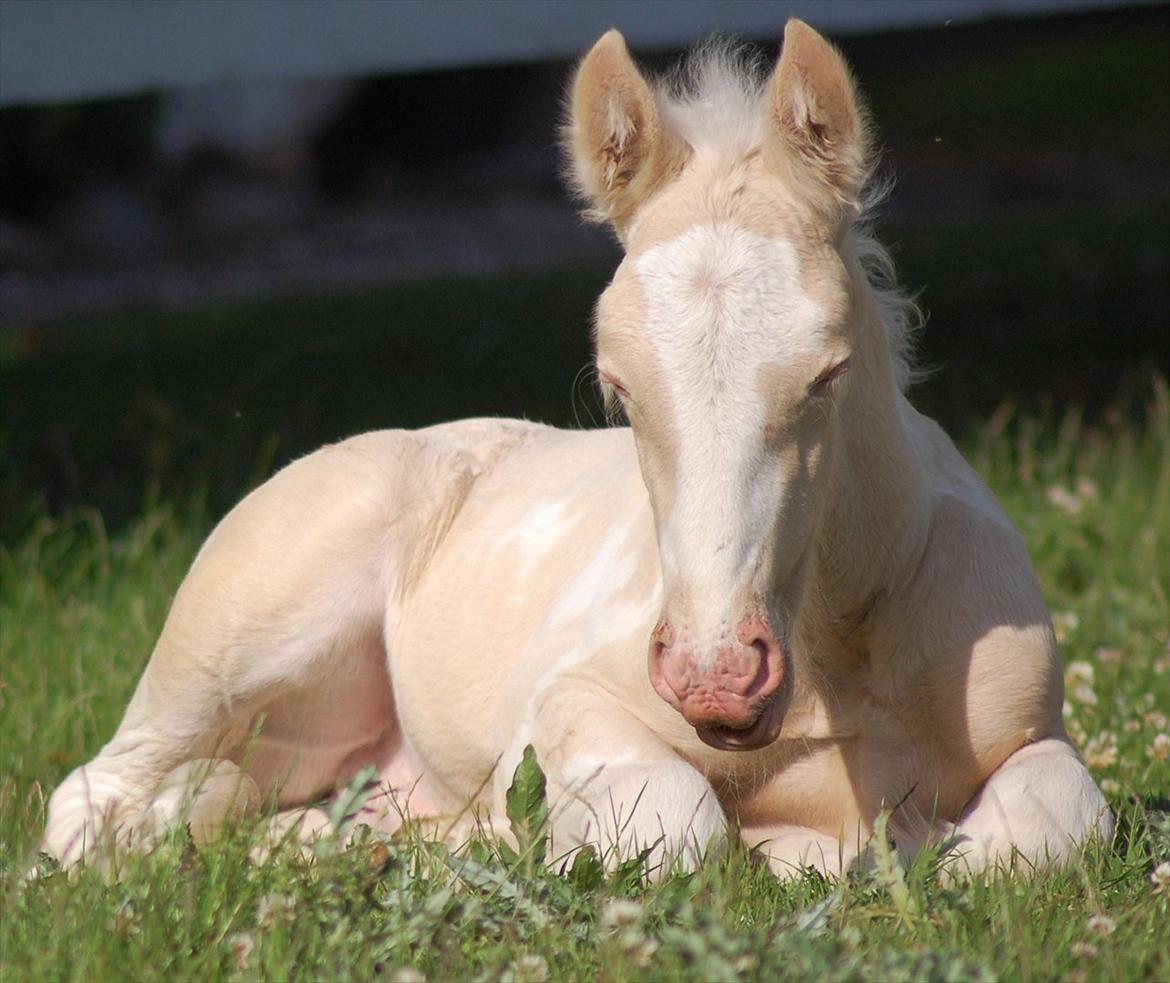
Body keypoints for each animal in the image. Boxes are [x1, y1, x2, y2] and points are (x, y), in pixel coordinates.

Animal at [42, 19, 1112, 879]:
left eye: (829, 372)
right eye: (617, 387)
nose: (716, 677)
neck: (839, 656)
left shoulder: (1034, 728)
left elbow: (1048, 832)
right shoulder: (570, 700)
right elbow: (678, 830)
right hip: (234, 651)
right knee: (96, 797)